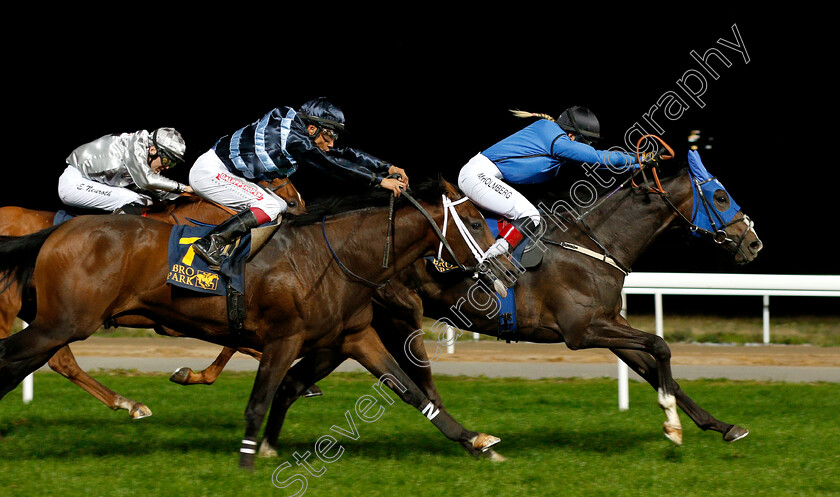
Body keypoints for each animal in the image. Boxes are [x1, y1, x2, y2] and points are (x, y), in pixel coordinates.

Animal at [0, 176, 306, 416]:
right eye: (292, 203)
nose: (299, 241)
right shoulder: (180, 320)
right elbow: (241, 345)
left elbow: (240, 345)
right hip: (21, 309)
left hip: (52, 316)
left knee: (59, 361)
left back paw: (127, 403)